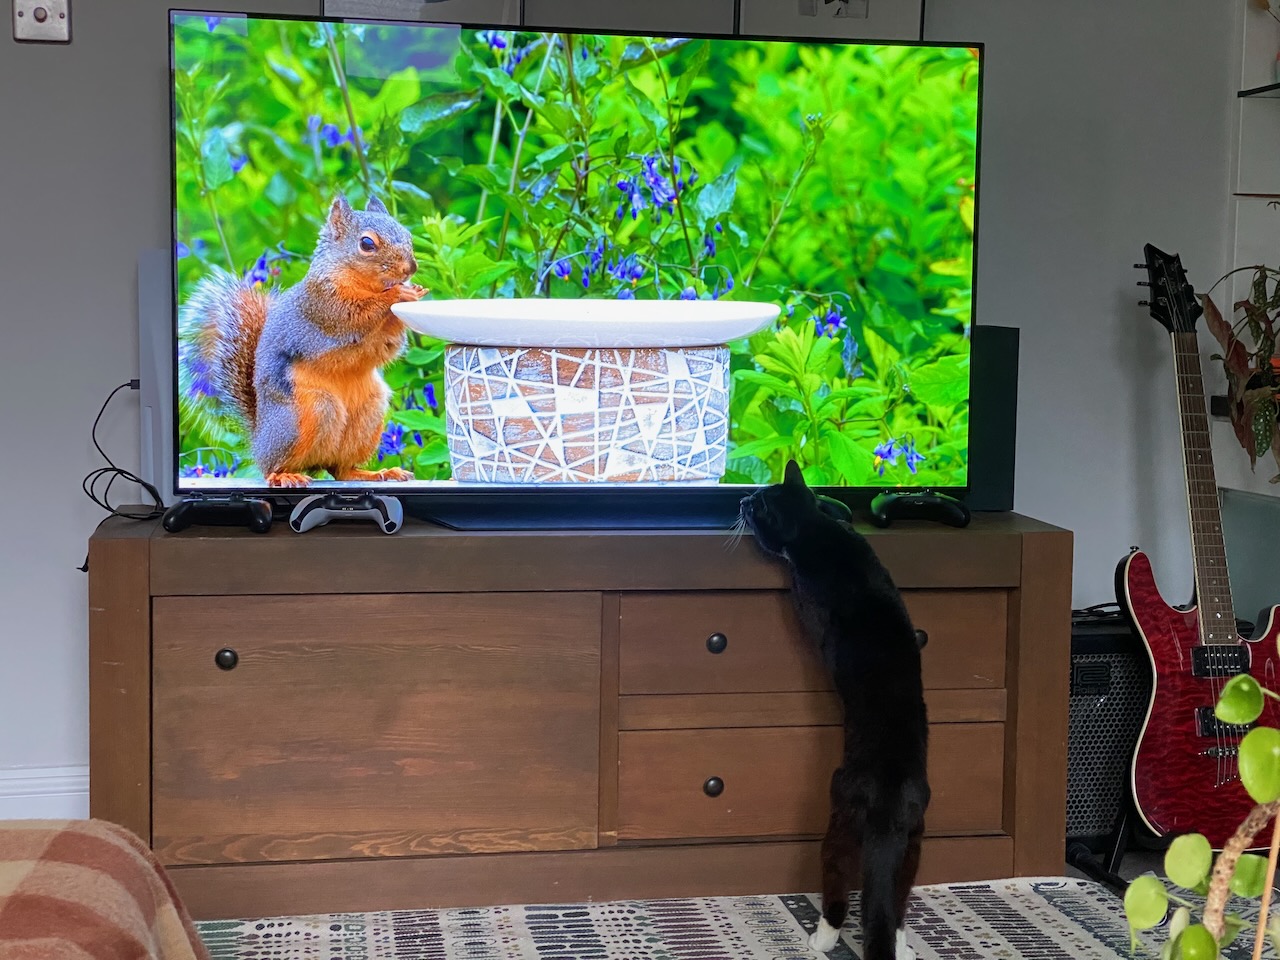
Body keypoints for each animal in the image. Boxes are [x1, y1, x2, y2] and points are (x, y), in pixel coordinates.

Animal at [180, 195, 424, 488]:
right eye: (367, 244)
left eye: (407, 234)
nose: (410, 268)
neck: (363, 283)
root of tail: (259, 439)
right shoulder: (323, 304)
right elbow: (356, 316)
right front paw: (397, 294)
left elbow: (388, 346)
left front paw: (413, 294)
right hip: (304, 415)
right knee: (274, 466)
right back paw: (284, 475)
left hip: (369, 413)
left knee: (341, 470)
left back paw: (378, 473)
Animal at [742, 463, 931, 957]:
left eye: (756, 502)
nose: (740, 501)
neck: (819, 530)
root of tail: (887, 801)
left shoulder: (804, 592)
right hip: (915, 837)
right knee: (896, 902)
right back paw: (902, 944)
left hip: (839, 821)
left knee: (838, 889)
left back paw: (820, 938)